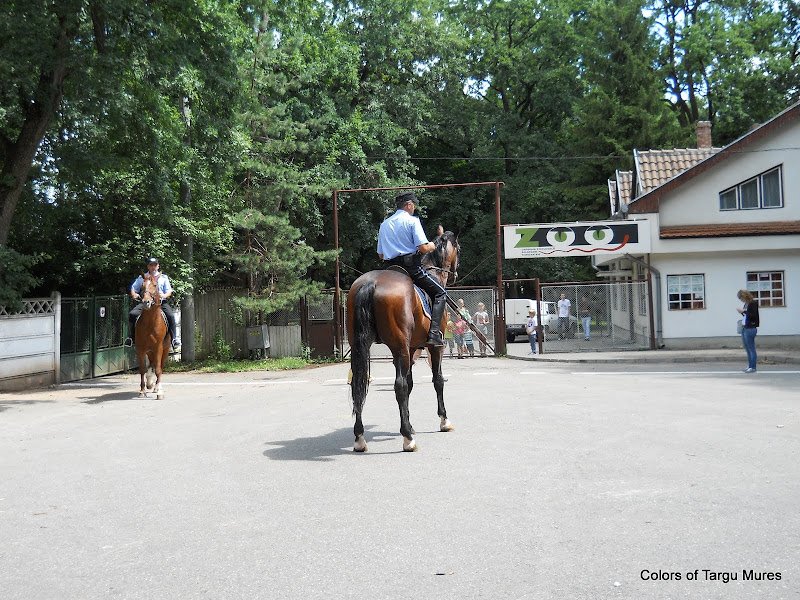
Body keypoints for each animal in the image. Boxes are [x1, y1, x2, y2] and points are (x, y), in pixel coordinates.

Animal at [346, 230, 460, 450]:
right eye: (459, 248)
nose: (454, 273)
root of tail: (370, 283)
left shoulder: (412, 348)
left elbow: (411, 383)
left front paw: (411, 423)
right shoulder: (434, 348)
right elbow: (437, 381)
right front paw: (444, 421)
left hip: (361, 347)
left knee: (359, 384)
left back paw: (359, 438)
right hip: (400, 348)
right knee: (399, 386)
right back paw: (407, 439)